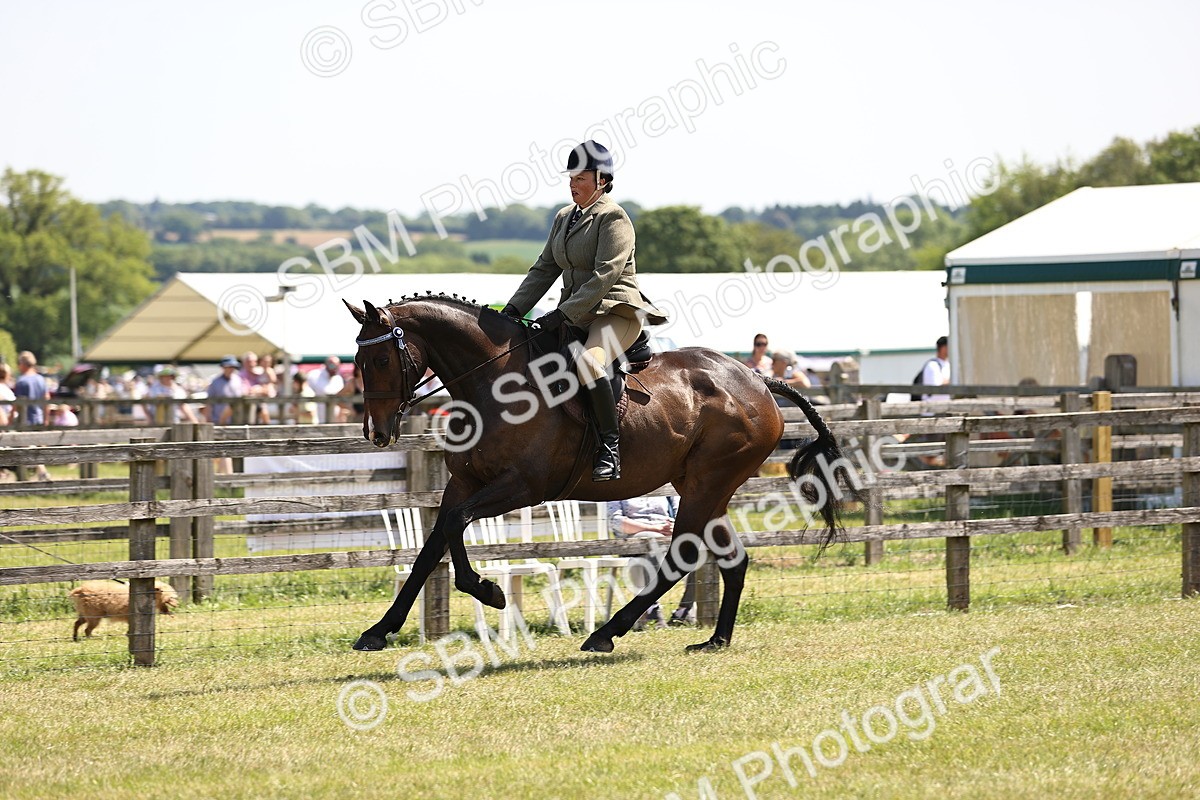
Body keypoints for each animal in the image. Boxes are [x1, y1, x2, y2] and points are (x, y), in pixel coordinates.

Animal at [345, 294, 853, 653]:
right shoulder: (463, 484)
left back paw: (607, 633)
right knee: (733, 560)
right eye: (357, 362)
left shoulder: (521, 488)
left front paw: (488, 591)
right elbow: (430, 549)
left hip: (708, 483)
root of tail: (756, 379)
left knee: (682, 557)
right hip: (703, 487)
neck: (494, 384)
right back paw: (715, 640)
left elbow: (453, 527)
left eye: (381, 360)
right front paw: (379, 630)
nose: (377, 432)